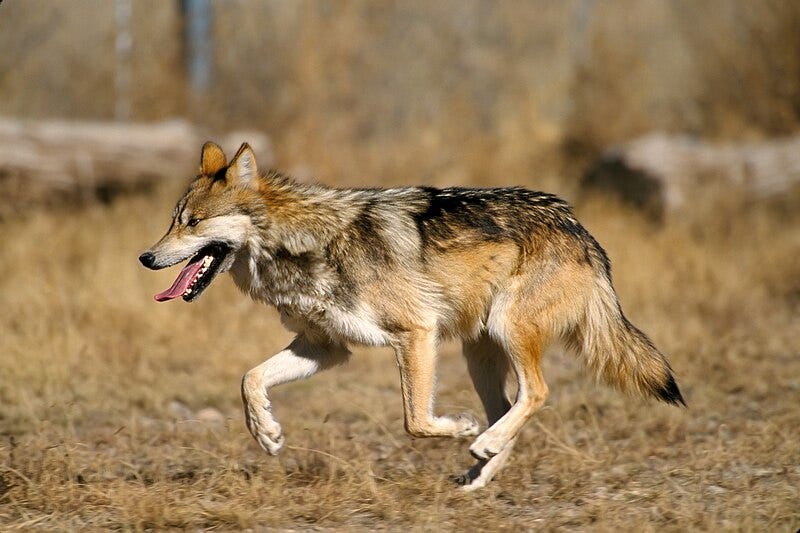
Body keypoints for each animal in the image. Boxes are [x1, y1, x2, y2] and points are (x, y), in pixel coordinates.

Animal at [139, 142, 685, 490]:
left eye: (193, 223)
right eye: (172, 221)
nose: (145, 257)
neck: (303, 244)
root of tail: (579, 228)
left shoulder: (416, 333)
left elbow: (415, 421)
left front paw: (459, 427)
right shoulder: (325, 348)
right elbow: (249, 379)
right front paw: (267, 434)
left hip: (506, 331)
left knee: (536, 393)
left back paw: (480, 443)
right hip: (478, 354)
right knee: (509, 406)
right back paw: (479, 471)